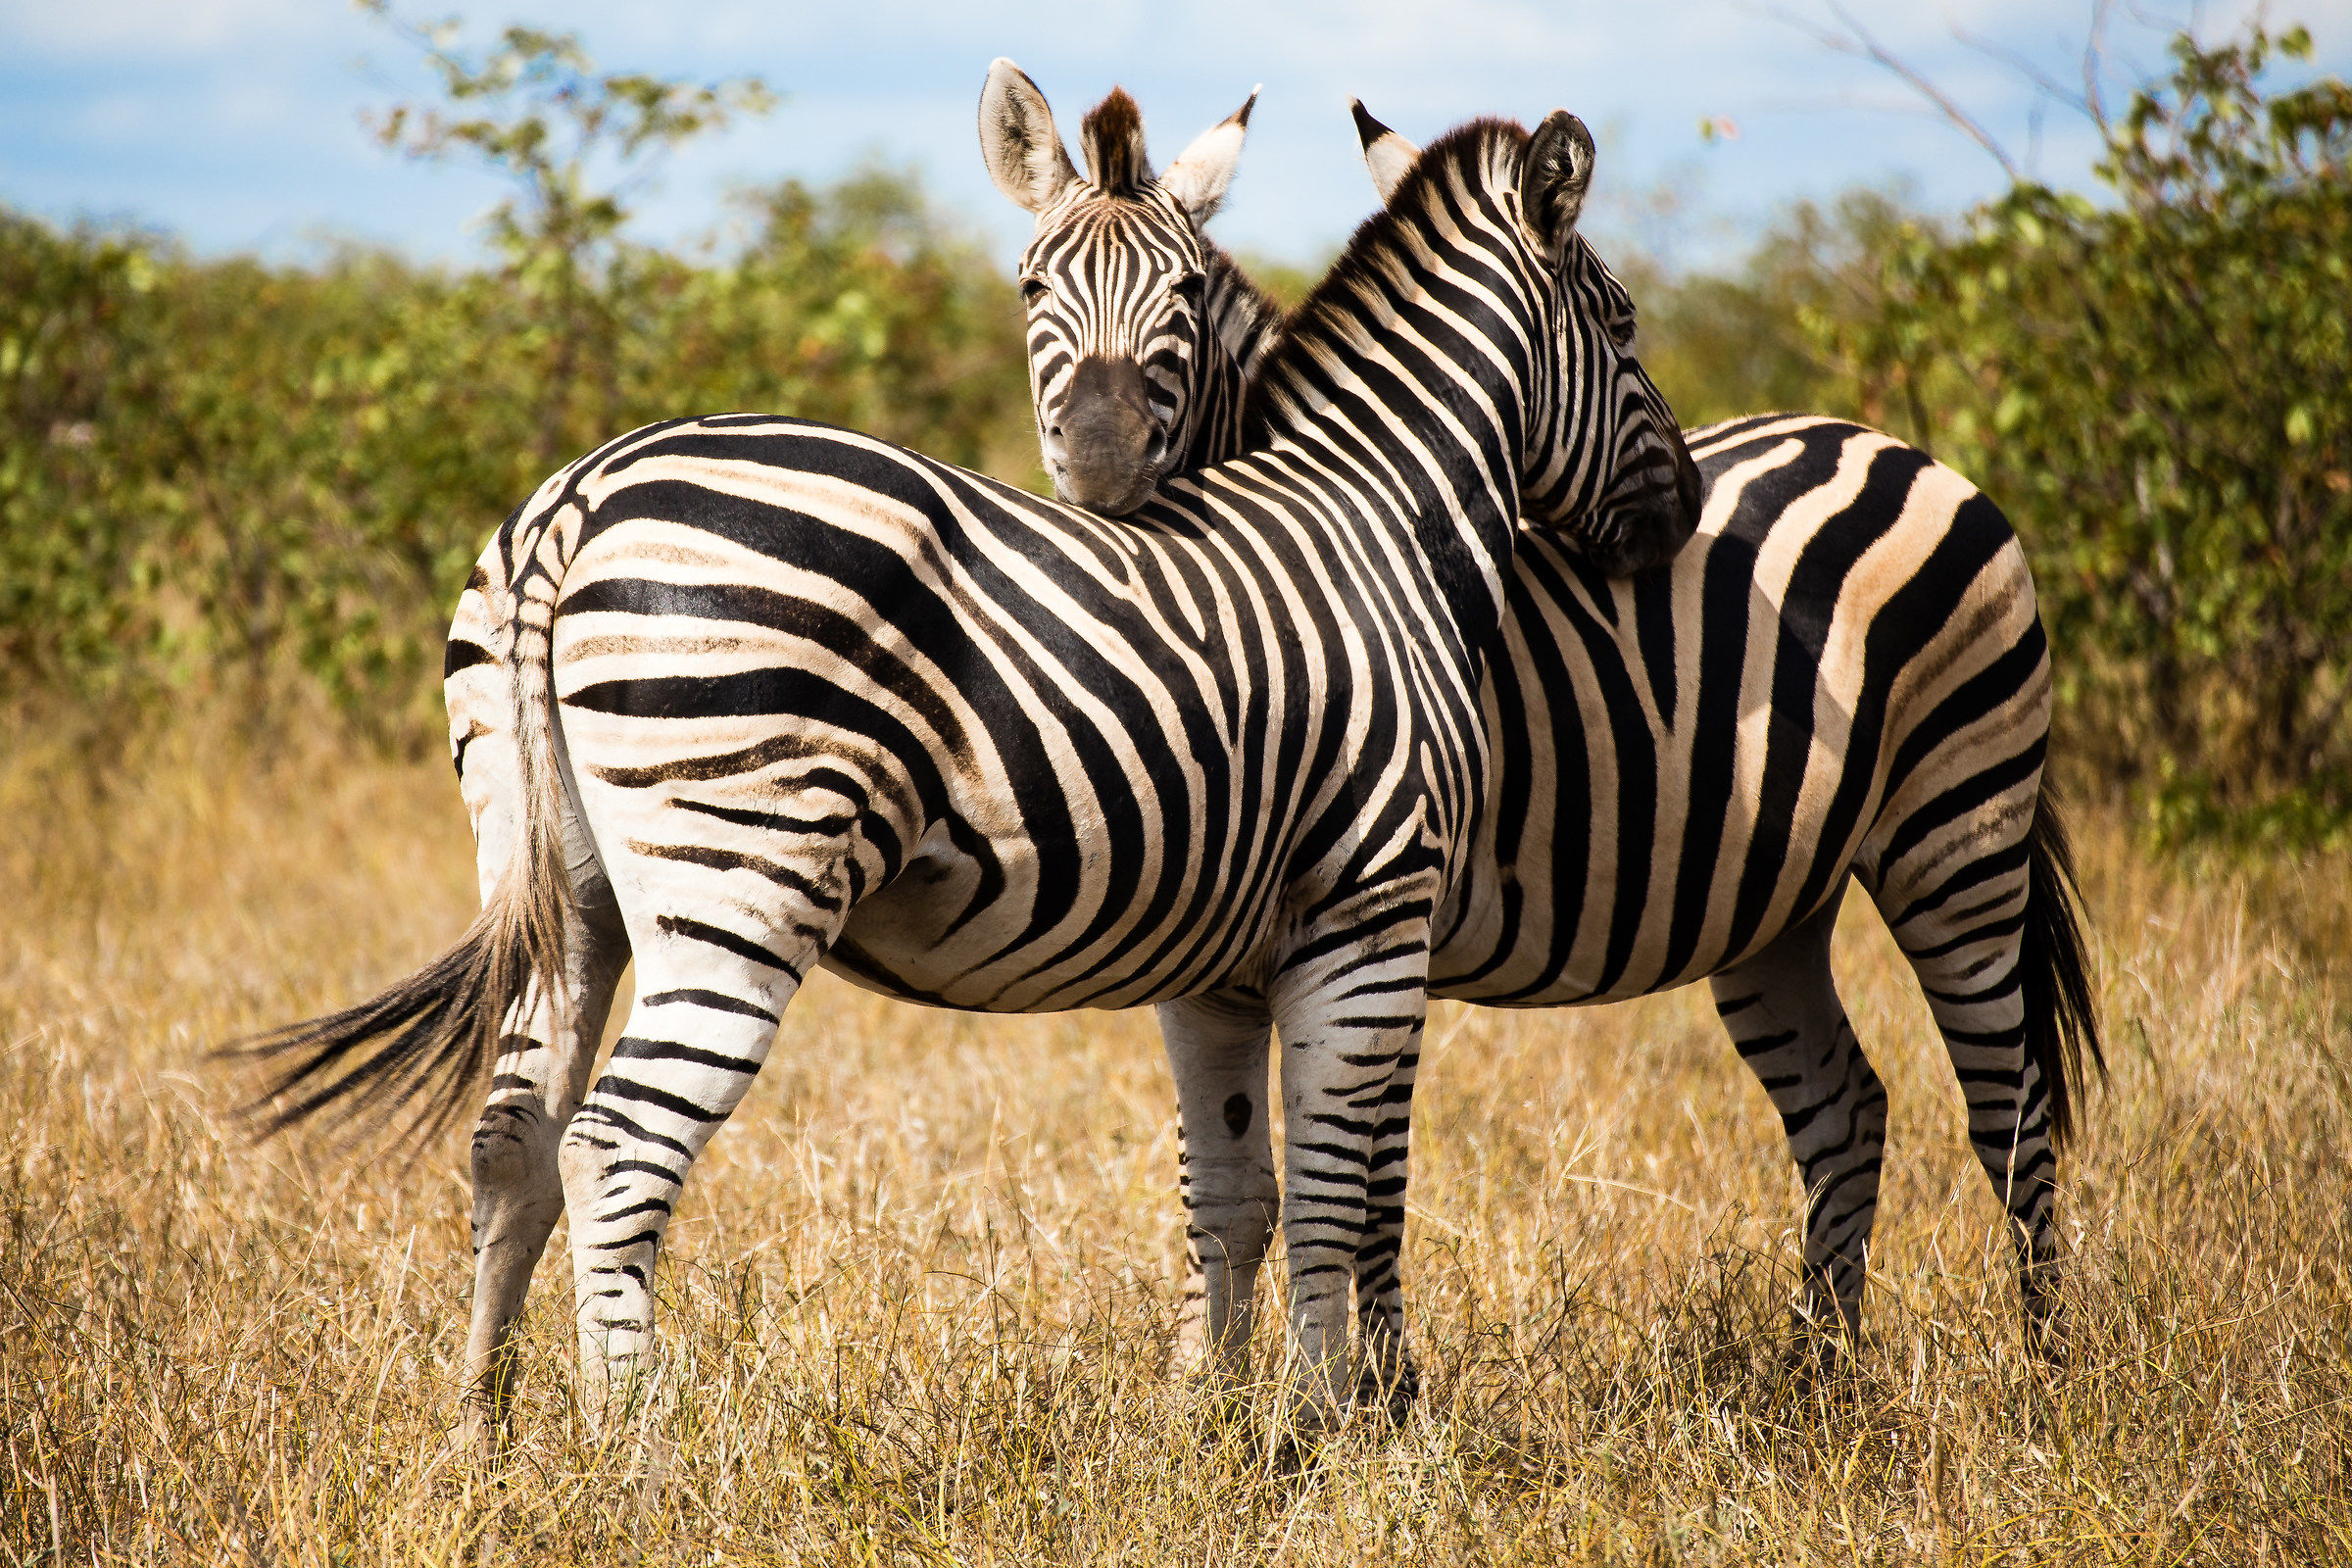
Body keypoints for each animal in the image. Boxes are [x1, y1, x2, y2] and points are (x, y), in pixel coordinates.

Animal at [242, 107, 1701, 1454]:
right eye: (1626, 323)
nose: (1678, 513)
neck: (1380, 524)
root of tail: (575, 500)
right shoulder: (1371, 906)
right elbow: (1348, 1192)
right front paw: (1337, 1439)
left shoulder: (1233, 951)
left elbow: (1243, 1194)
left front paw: (1229, 1441)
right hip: (741, 876)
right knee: (614, 1150)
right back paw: (632, 1456)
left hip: (559, 882)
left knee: (514, 1144)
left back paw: (482, 1443)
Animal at [994, 86, 2103, 1391]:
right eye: (1030, 288)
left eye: (1177, 297)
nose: (1102, 462)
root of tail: (1894, 445)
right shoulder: (1223, 954)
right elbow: (1225, 1186)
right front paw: (1212, 1387)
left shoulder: (1390, 921)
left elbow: (1373, 1182)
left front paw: (1388, 1384)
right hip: (1773, 902)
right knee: (1847, 1105)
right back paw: (1817, 1374)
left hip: (1959, 832)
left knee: (2010, 1109)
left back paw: (2050, 1374)